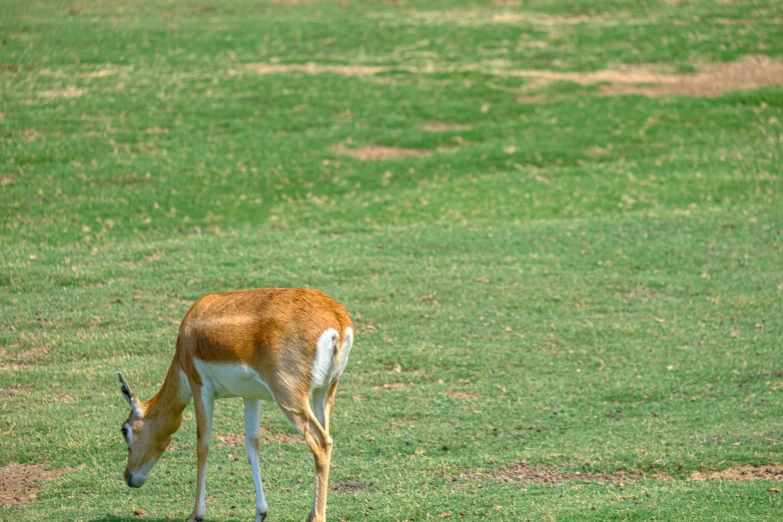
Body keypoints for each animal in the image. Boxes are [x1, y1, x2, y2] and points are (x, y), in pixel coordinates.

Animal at [117, 288, 356, 520]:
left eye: (125, 430)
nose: (129, 476)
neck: (190, 332)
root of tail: (337, 319)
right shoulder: (251, 396)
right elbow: (252, 444)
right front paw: (261, 512)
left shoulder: (200, 387)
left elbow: (202, 444)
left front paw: (196, 514)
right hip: (324, 393)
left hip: (290, 399)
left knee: (321, 443)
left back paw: (316, 516)